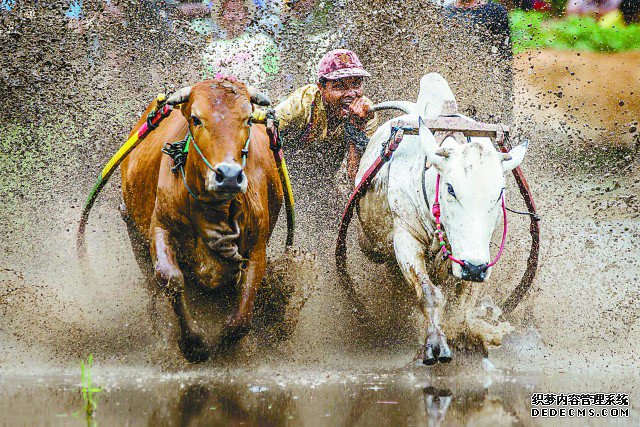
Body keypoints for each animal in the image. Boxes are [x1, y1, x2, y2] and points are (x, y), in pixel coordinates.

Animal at [119, 78, 282, 362]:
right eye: (196, 119)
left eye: (248, 119)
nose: (229, 176)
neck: (216, 209)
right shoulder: (160, 226)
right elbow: (170, 278)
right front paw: (193, 344)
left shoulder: (257, 245)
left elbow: (242, 314)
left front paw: (226, 343)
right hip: (132, 226)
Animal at [352, 72, 528, 364]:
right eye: (451, 188)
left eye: (499, 193)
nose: (474, 268)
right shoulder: (405, 240)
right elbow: (430, 294)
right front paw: (436, 344)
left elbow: (462, 305)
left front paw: (468, 341)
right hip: (373, 245)